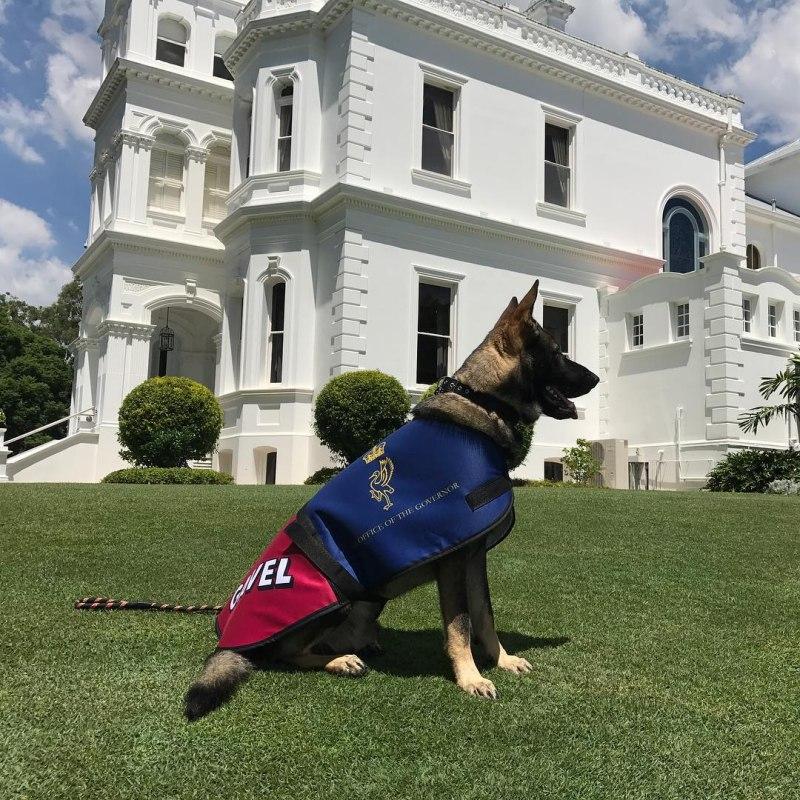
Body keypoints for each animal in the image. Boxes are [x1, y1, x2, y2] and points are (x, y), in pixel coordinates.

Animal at [184, 282, 596, 720]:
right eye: (557, 350)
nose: (597, 377)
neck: (480, 402)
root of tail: (228, 634)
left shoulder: (473, 555)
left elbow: (485, 614)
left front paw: (501, 659)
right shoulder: (454, 559)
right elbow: (460, 625)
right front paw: (470, 677)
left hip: (368, 603)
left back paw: (359, 645)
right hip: (334, 600)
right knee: (284, 653)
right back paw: (340, 660)